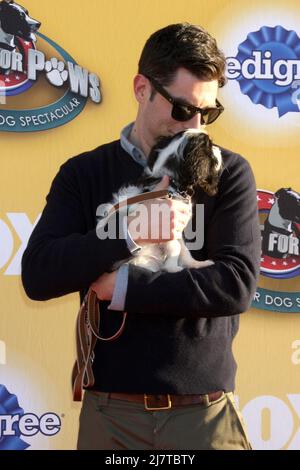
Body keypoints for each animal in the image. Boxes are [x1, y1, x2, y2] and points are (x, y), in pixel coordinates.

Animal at [97, 129, 221, 276]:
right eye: (210, 147)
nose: (219, 149)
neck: (172, 184)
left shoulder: (176, 231)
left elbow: (184, 250)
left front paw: (196, 264)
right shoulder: (167, 232)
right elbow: (176, 247)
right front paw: (172, 268)